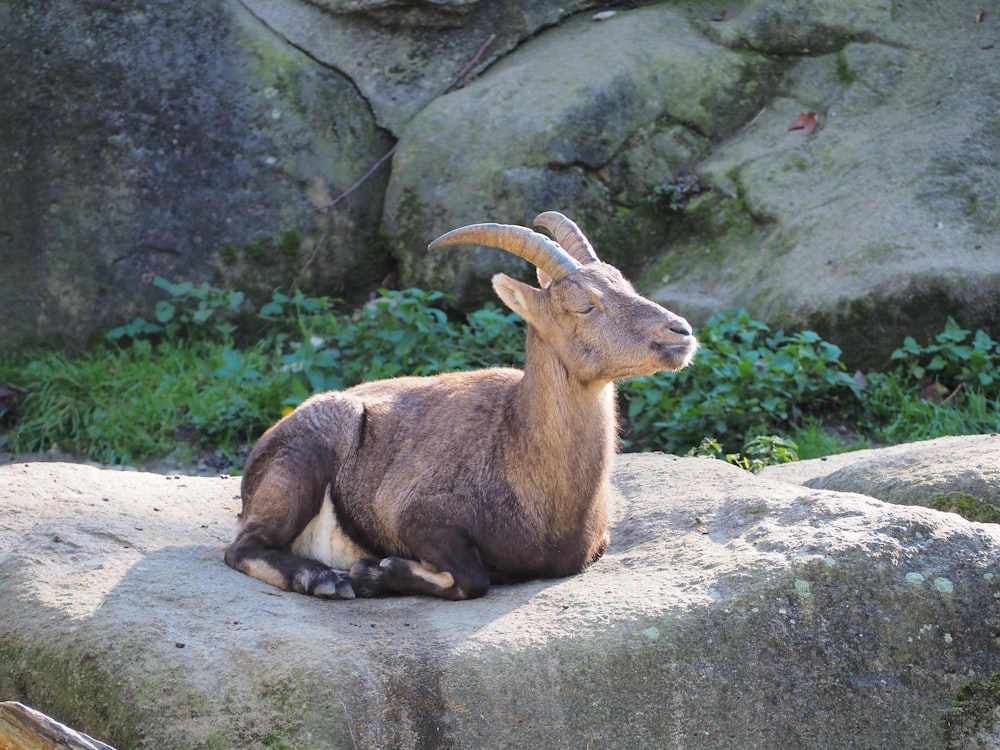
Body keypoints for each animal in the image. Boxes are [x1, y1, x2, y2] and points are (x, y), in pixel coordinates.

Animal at [225, 212, 696, 600]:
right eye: (584, 305)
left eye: (624, 284)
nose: (681, 331)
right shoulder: (411, 513)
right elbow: (473, 579)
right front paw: (373, 572)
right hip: (304, 459)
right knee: (242, 549)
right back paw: (325, 579)